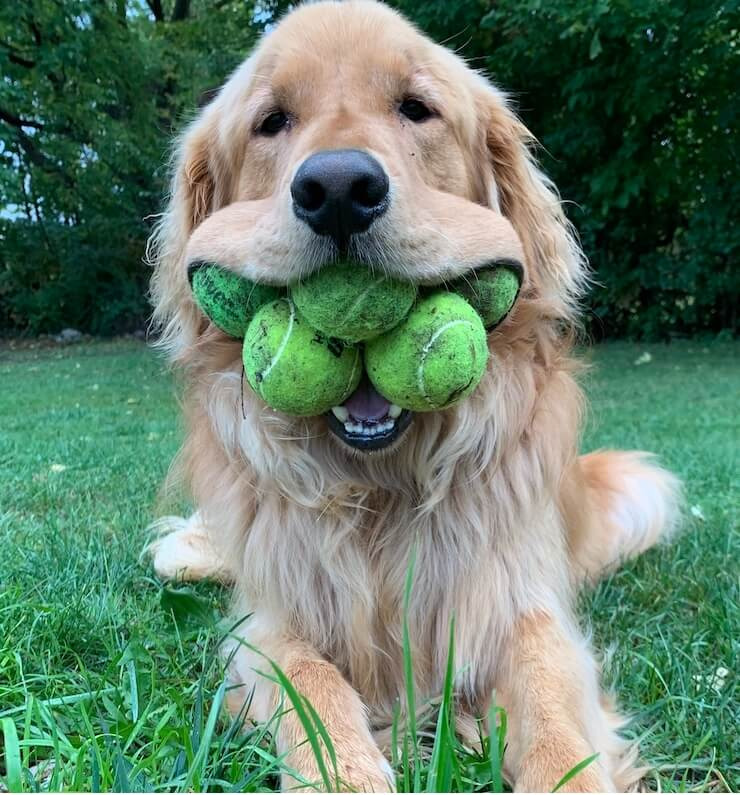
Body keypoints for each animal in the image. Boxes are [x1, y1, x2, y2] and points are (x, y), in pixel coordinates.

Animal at [146, 4, 684, 788]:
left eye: (416, 108)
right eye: (271, 121)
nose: (339, 189)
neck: (382, 489)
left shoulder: (523, 605)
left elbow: (555, 717)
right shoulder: (271, 623)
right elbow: (311, 686)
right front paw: (349, 771)